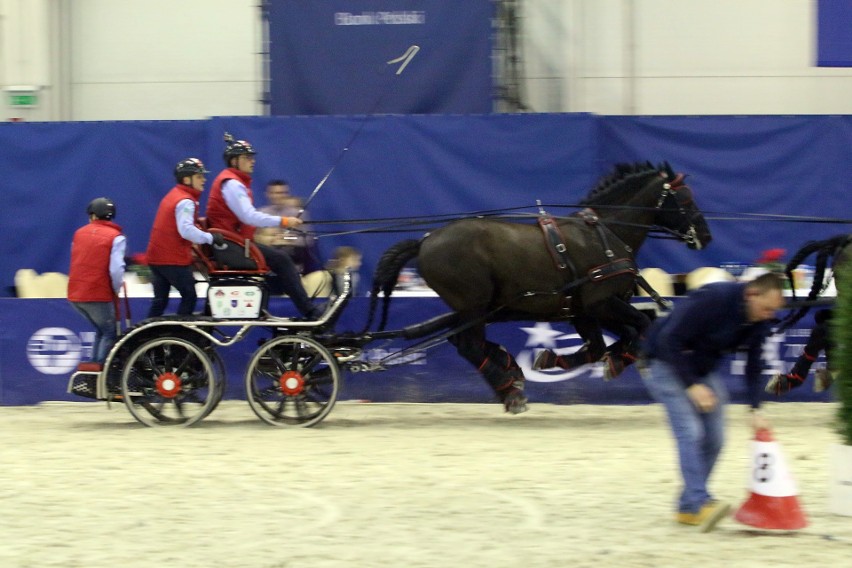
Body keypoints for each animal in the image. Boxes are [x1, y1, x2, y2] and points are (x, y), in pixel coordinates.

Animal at [362, 162, 708, 414]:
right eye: (686, 198)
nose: (706, 235)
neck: (605, 236)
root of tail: (424, 242)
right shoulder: (600, 303)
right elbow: (638, 326)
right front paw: (612, 360)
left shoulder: (584, 310)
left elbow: (610, 341)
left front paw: (568, 359)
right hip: (474, 305)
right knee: (468, 345)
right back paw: (510, 389)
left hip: (475, 309)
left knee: (464, 342)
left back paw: (509, 372)